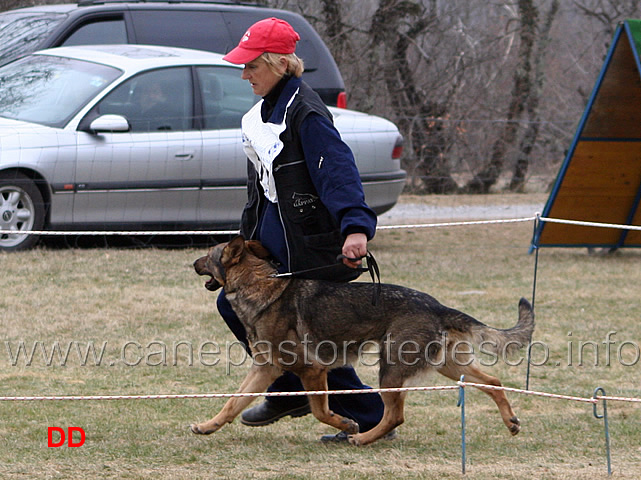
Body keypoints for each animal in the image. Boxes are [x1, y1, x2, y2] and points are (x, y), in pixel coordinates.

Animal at [191, 236, 536, 446]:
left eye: (207, 256)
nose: (191, 263)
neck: (258, 284)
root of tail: (437, 306)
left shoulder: (312, 371)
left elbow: (321, 411)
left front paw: (346, 425)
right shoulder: (265, 370)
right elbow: (232, 403)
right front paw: (208, 426)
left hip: (391, 370)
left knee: (395, 414)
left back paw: (364, 438)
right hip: (447, 366)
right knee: (493, 381)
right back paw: (511, 421)